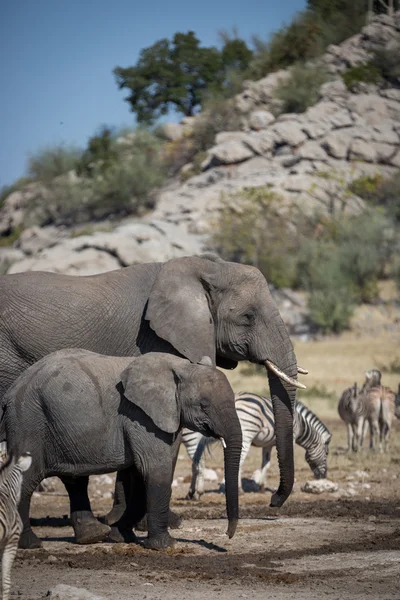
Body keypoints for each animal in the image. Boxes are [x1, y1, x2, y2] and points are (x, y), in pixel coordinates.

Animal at [2, 350, 241, 552]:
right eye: (203, 405)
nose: (228, 535)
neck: (182, 366)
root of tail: (10, 392)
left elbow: (140, 475)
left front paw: (120, 536)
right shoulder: (140, 415)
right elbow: (156, 470)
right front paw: (165, 546)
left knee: (72, 478)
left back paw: (94, 536)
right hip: (28, 420)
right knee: (26, 479)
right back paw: (30, 544)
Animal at [182, 392, 332, 500]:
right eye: (326, 453)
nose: (323, 476)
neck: (301, 425)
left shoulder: (268, 445)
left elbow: (266, 464)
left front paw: (261, 487)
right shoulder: (291, 438)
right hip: (245, 434)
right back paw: (238, 490)